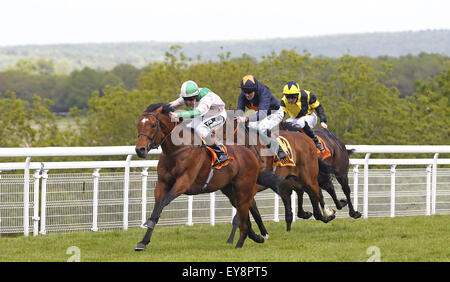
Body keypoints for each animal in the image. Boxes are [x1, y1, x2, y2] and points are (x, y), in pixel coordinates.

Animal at [133, 103, 282, 249]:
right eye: (139, 124)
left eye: (153, 125)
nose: (140, 150)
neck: (176, 151)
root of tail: (250, 153)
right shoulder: (162, 182)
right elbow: (158, 205)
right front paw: (143, 241)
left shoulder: (184, 182)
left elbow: (163, 201)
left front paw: (149, 223)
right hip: (230, 190)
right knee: (243, 212)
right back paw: (256, 237)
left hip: (244, 188)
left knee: (244, 210)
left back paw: (245, 240)